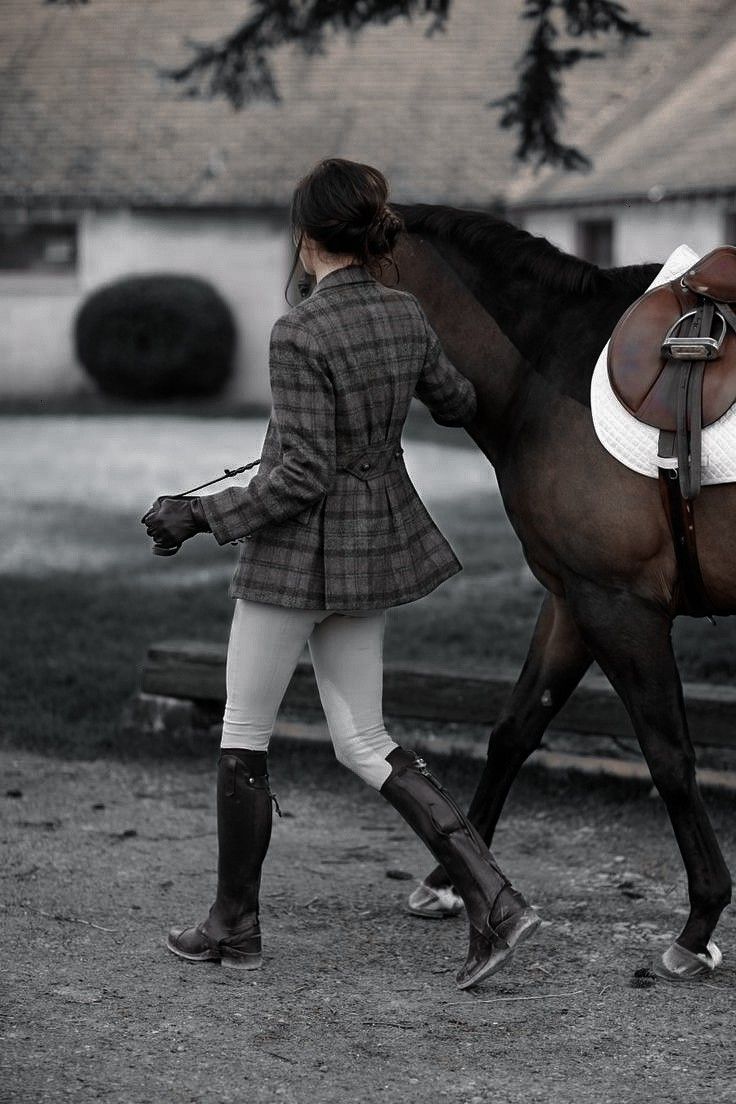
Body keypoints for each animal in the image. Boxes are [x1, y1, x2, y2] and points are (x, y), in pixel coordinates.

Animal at [384, 203, 732, 971]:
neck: (546, 371)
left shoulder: (620, 607)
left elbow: (669, 755)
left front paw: (699, 922)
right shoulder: (575, 601)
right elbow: (515, 729)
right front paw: (450, 882)